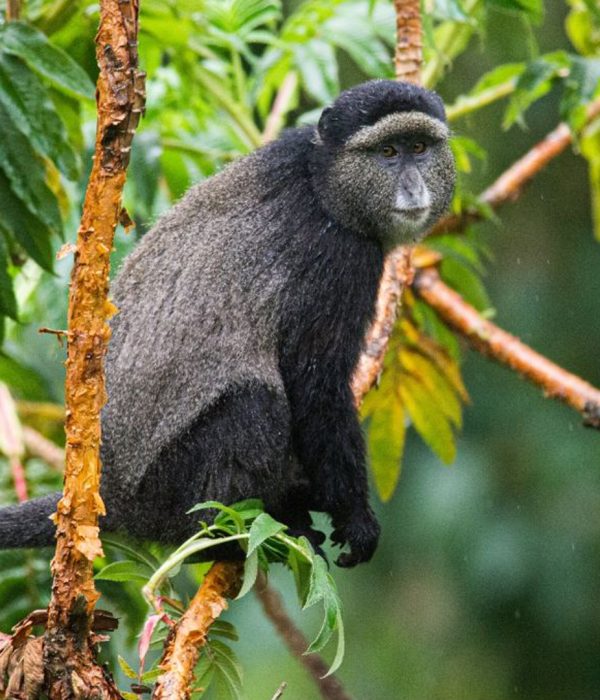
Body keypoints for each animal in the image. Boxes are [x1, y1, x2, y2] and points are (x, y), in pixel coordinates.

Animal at [0, 80, 455, 567]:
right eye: (388, 152)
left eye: (419, 148)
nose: (413, 188)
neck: (323, 181)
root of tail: (111, 494)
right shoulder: (338, 261)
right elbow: (317, 388)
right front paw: (357, 520)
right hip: (170, 485)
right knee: (253, 403)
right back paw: (223, 534)